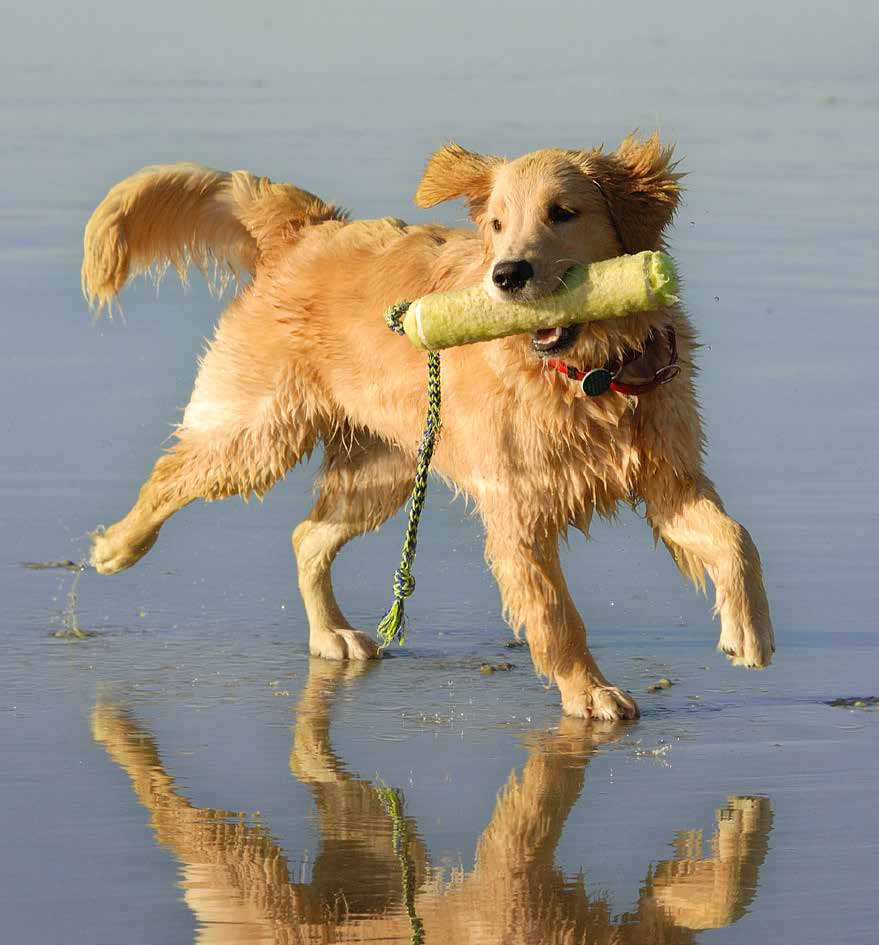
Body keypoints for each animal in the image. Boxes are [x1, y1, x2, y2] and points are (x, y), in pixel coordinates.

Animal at [79, 133, 772, 720]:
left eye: (562, 212)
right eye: (497, 225)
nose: (507, 274)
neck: (590, 375)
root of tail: (311, 228)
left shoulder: (668, 479)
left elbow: (735, 538)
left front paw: (749, 632)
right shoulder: (517, 510)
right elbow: (555, 615)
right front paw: (590, 692)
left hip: (383, 469)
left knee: (307, 536)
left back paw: (330, 634)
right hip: (259, 434)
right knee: (172, 475)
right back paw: (116, 549)